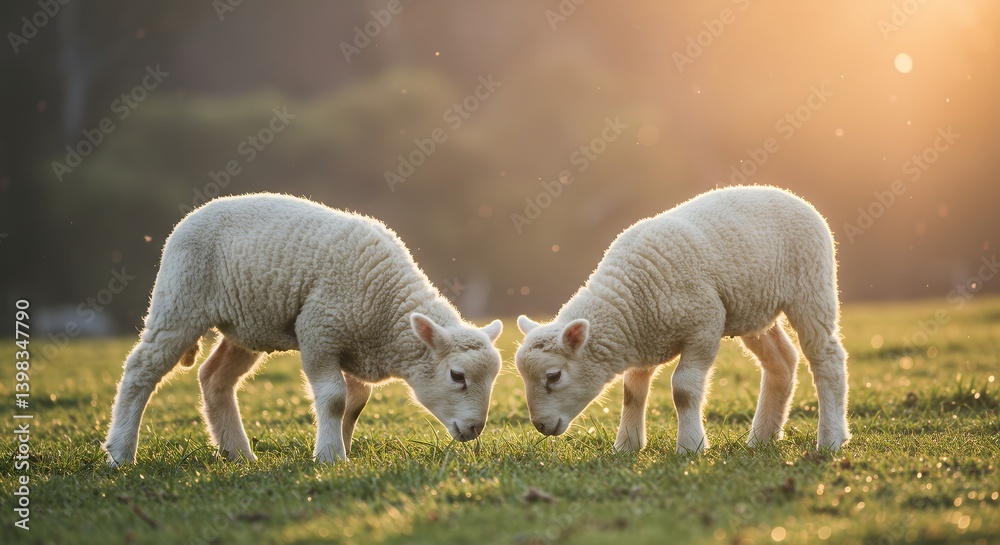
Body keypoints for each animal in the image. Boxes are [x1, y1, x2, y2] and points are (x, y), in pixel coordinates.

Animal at [103, 193, 503, 466]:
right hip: (181, 299)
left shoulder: (352, 344)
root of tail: (193, 215)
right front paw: (330, 455)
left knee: (214, 378)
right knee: (142, 368)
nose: (475, 429)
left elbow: (355, 402)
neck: (387, 308)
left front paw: (342, 447)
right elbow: (334, 398)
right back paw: (120, 452)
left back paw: (238, 454)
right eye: (457, 376)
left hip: (246, 324)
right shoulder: (319, 330)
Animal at [515, 185, 850, 453]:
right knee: (782, 361)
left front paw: (690, 447)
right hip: (752, 309)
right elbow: (631, 393)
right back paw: (762, 438)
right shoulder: (643, 336)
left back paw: (831, 439)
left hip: (811, 286)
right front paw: (627, 446)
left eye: (553, 376)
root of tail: (790, 194)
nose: (540, 425)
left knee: (827, 357)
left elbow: (684, 390)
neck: (628, 296)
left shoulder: (705, 324)